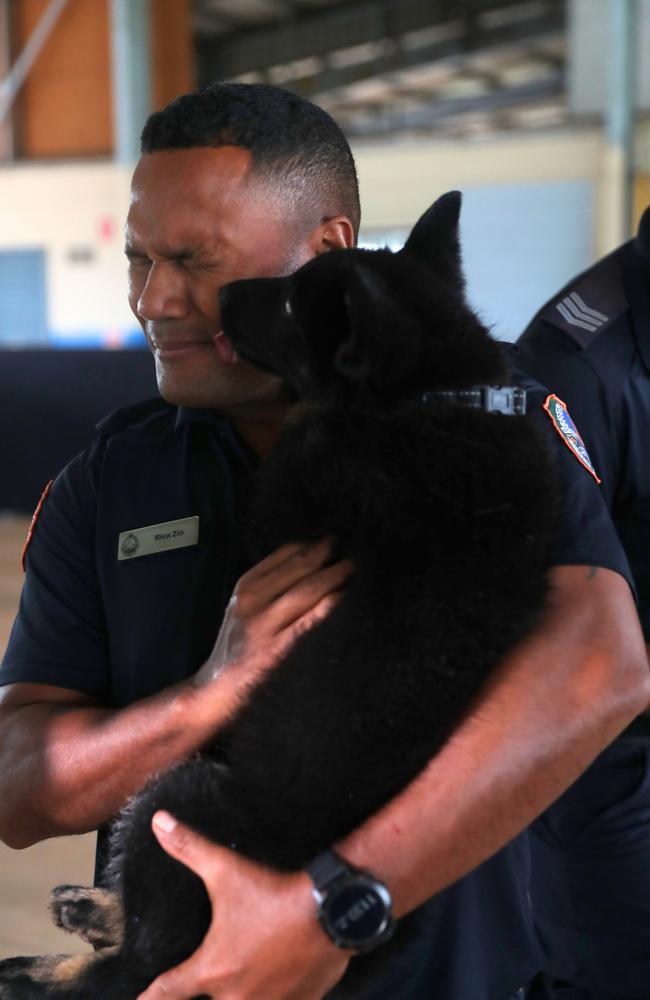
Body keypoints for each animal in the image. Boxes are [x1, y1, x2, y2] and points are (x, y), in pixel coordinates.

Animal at [0, 191, 556, 996]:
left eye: (292, 303)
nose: (226, 294)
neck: (429, 391)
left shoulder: (287, 502)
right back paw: (89, 913)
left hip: (175, 795)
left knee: (140, 964)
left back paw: (56, 963)